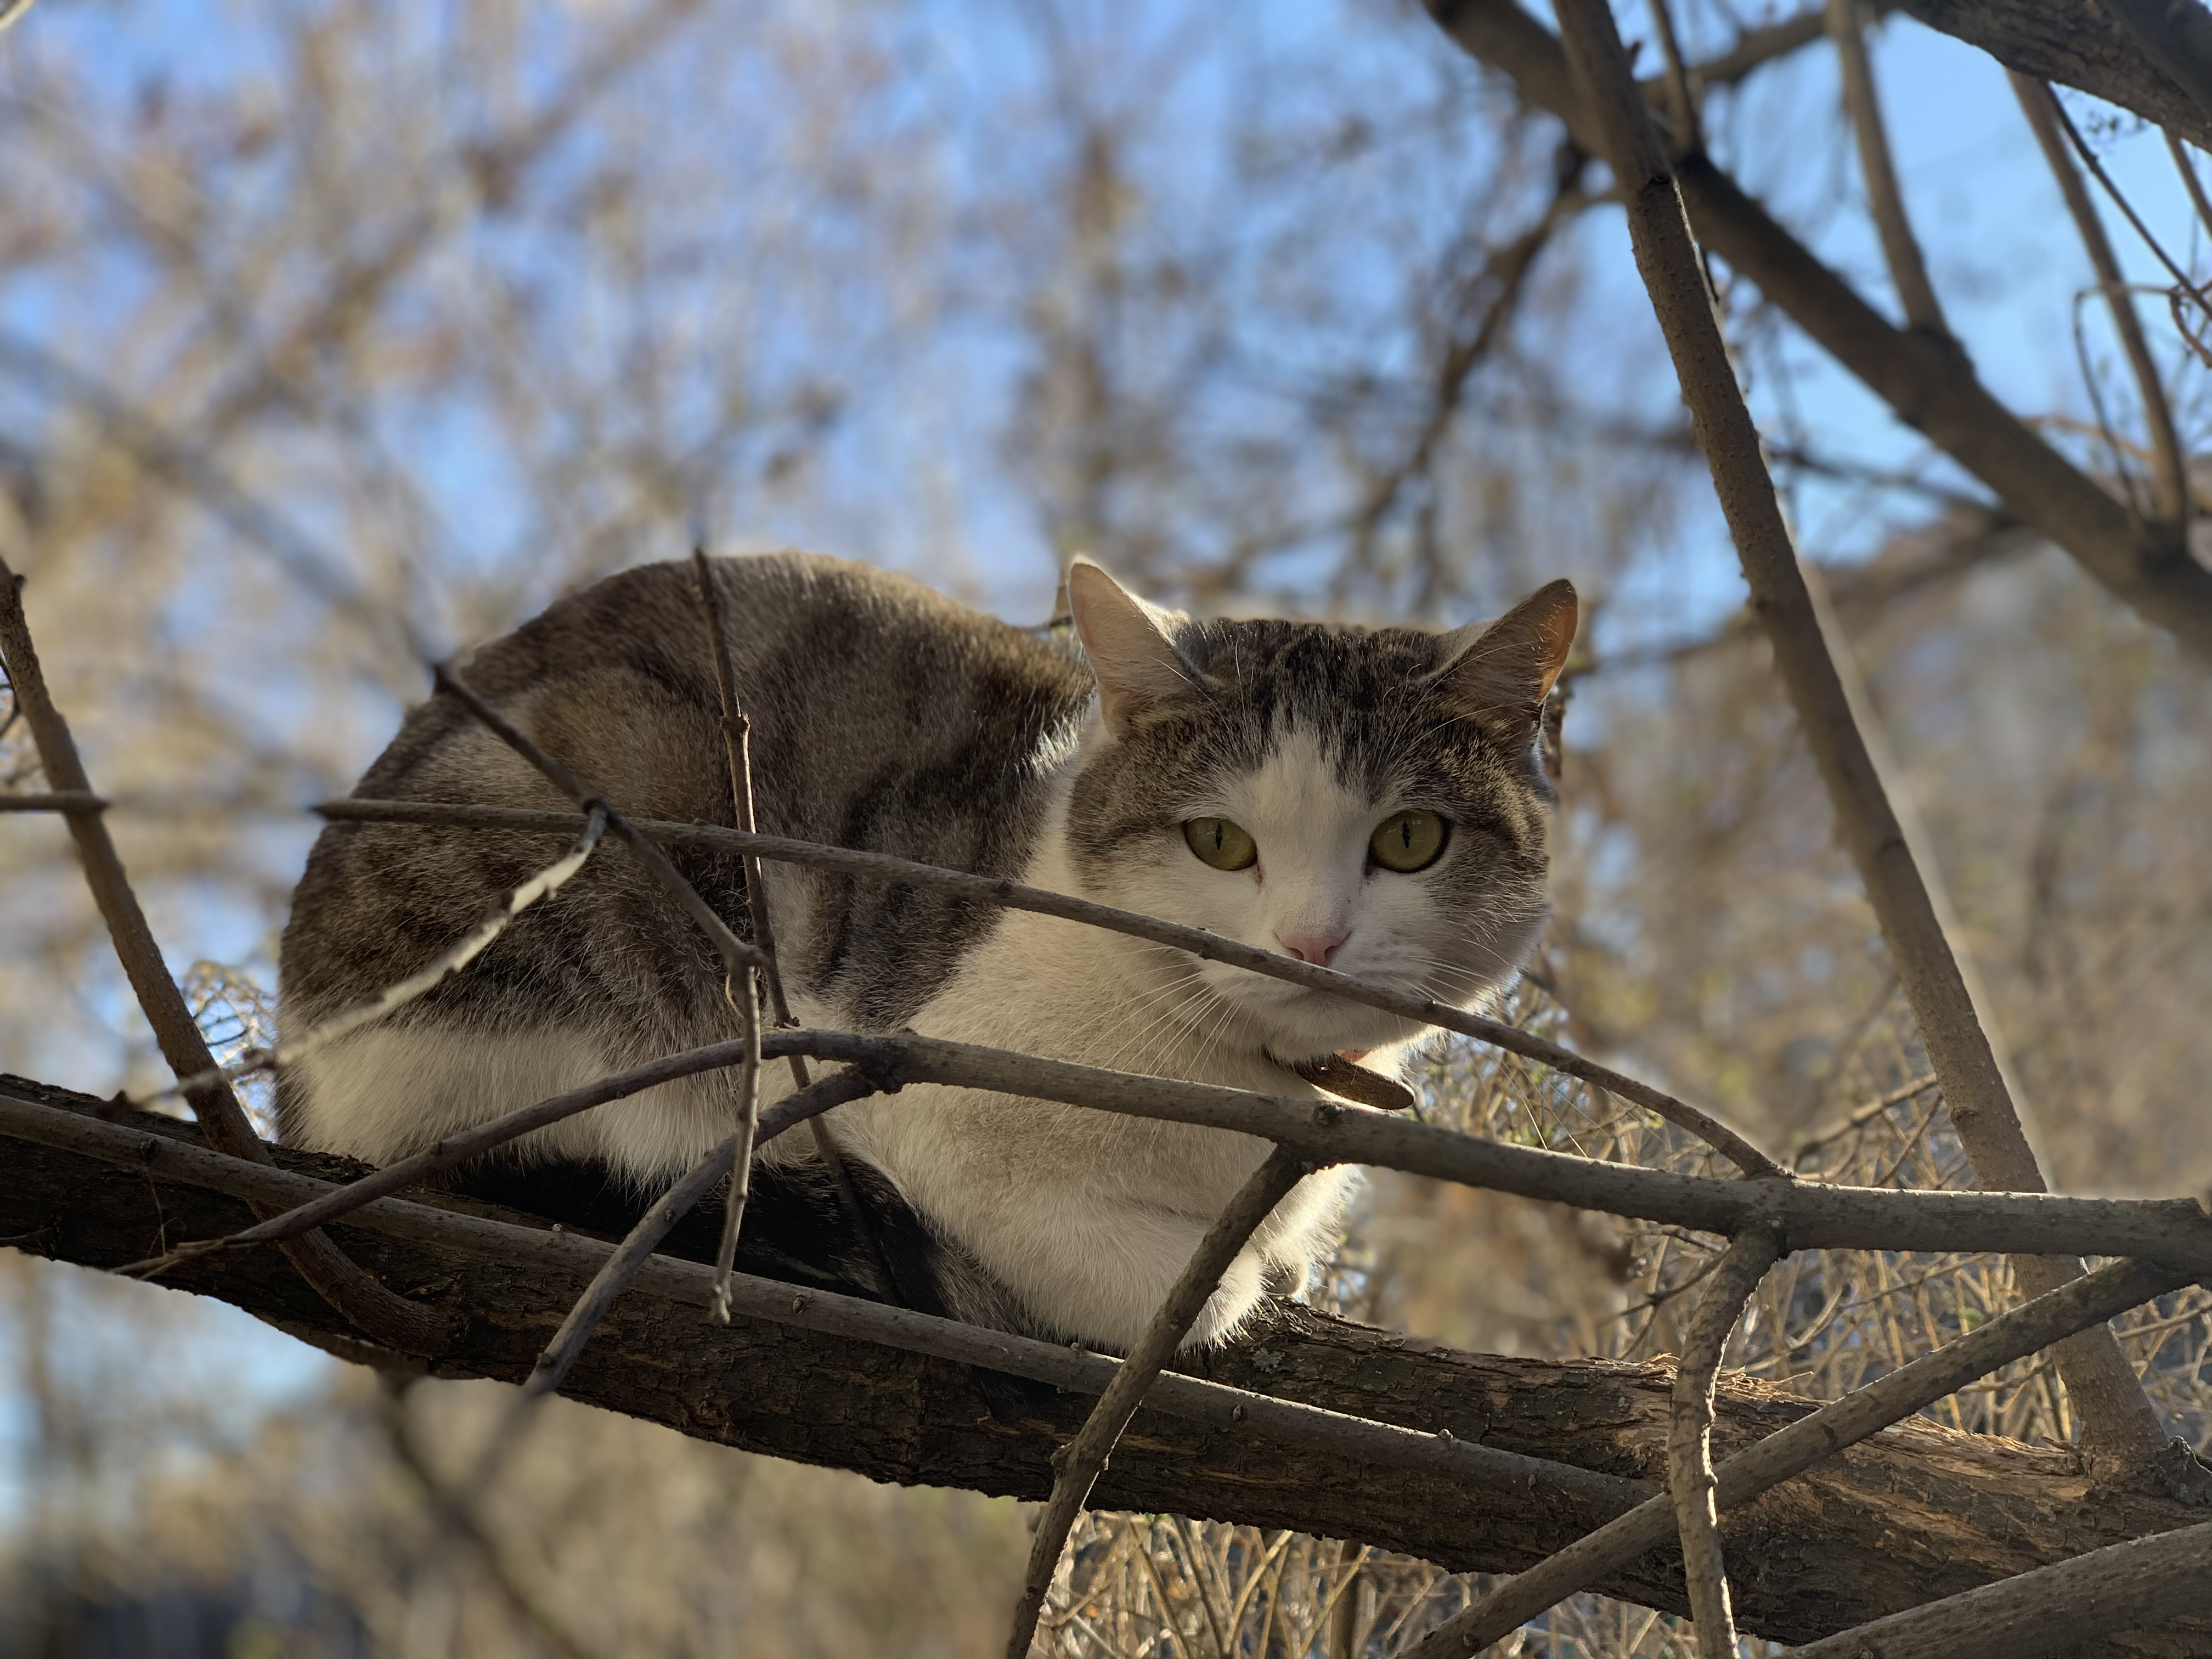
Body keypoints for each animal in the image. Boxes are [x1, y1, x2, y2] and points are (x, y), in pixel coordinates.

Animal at [276, 553, 1575, 1353]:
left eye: (1408, 839)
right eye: (1220, 841)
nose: (1310, 942)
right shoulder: (921, 1099)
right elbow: (1150, 1276)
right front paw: (1226, 1280)